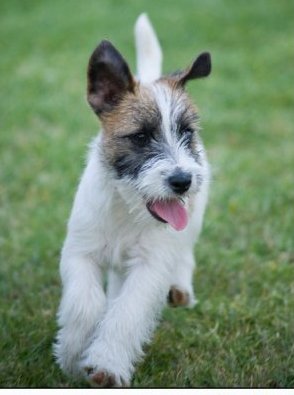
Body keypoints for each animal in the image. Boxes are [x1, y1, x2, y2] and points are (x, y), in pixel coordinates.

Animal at [54, 13, 211, 390]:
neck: (126, 208)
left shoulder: (150, 265)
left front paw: (107, 363)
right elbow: (84, 303)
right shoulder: (80, 252)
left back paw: (180, 287)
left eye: (186, 133)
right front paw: (72, 353)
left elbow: (128, 312)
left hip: (193, 219)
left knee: (184, 251)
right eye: (140, 137)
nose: (182, 181)